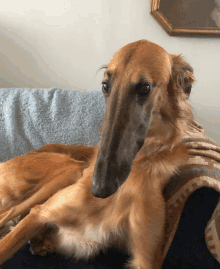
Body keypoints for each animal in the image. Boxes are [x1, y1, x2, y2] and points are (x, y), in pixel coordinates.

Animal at [0, 38, 194, 266]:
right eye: (105, 86)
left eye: (145, 88)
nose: (99, 189)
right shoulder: (40, 213)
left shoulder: (146, 258)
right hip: (69, 171)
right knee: (8, 212)